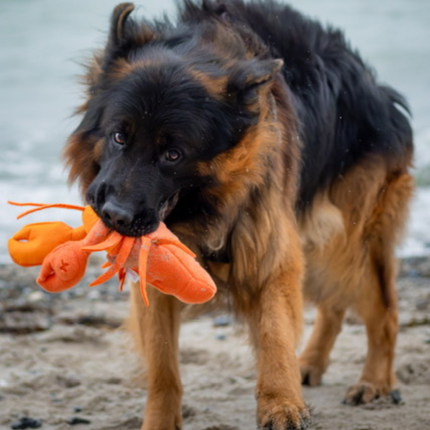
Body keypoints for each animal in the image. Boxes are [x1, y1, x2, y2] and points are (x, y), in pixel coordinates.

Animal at [63, 1, 414, 428]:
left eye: (173, 154)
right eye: (118, 136)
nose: (115, 217)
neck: (204, 207)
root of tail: (375, 87)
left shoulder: (269, 250)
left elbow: (275, 332)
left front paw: (281, 404)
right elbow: (163, 365)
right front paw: (160, 419)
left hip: (349, 239)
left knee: (384, 310)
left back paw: (374, 381)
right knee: (333, 304)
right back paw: (311, 363)